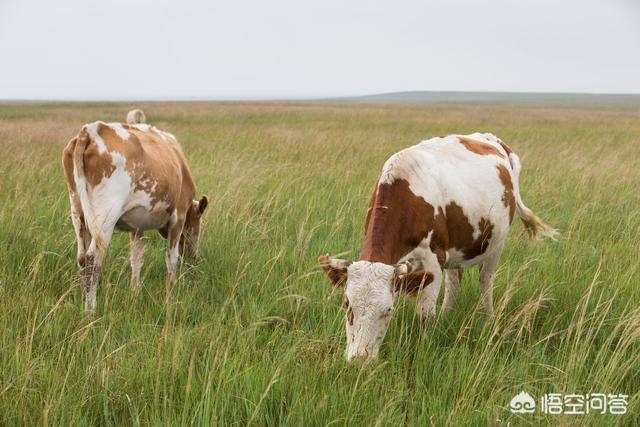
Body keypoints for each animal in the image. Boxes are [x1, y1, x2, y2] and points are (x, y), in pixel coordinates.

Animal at [62, 114, 208, 314]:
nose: (194, 258)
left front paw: (135, 293)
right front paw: (171, 294)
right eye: (198, 225)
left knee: (82, 258)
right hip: (105, 216)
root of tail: (90, 131)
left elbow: (137, 258)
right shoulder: (178, 216)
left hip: (77, 211)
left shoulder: (137, 226)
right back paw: (90, 311)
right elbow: (171, 258)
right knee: (92, 260)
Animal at [318, 133, 556, 362]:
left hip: (496, 243)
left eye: (388, 310)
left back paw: (489, 319)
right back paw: (446, 316)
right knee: (454, 284)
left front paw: (424, 346)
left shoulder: (434, 260)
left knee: (485, 282)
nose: (359, 359)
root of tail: (493, 139)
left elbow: (425, 315)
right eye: (347, 305)